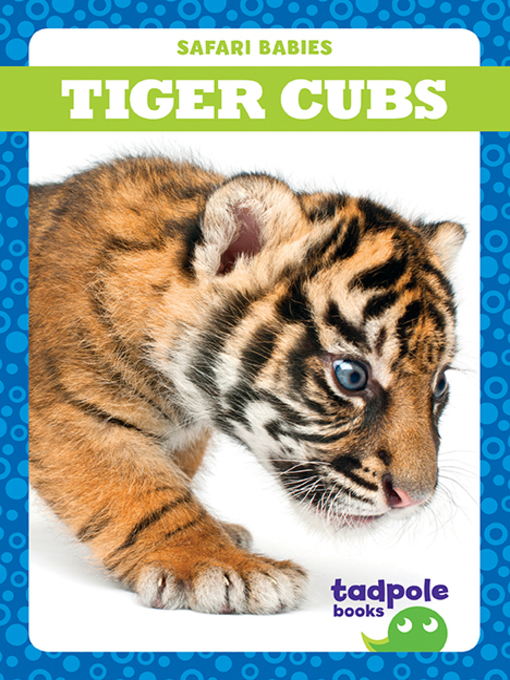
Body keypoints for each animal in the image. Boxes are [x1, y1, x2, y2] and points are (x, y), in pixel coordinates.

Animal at [29, 155, 465, 615]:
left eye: (439, 384)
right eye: (351, 376)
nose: (414, 498)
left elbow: (175, 476)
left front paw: (222, 536)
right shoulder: (68, 414)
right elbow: (143, 494)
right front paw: (220, 565)